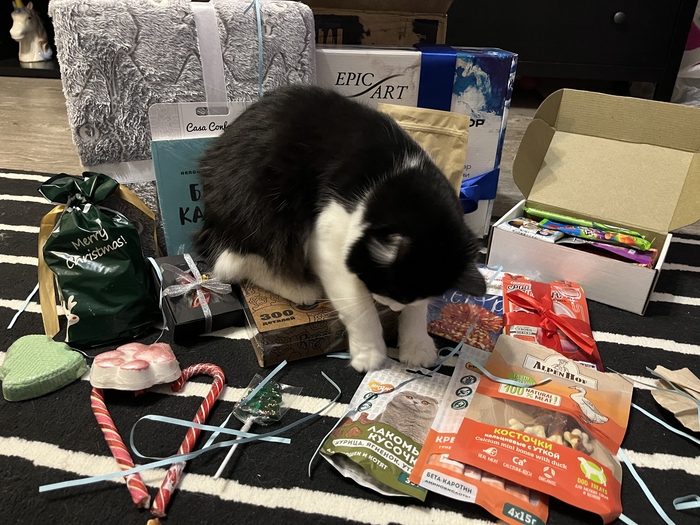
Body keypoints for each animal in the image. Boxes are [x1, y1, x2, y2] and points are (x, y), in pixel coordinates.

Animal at [194, 85, 486, 372]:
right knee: (236, 262)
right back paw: (301, 288)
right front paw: (370, 353)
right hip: (262, 212)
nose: (390, 306)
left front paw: (417, 346)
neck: (395, 180)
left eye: (401, 298)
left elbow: (419, 308)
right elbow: (358, 306)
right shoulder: (328, 241)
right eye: (387, 292)